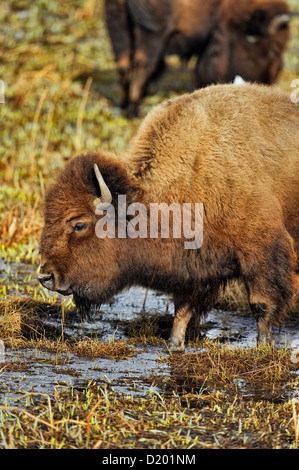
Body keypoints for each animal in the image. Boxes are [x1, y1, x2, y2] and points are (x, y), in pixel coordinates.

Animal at [105, 0, 292, 117]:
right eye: (274, 50)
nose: (270, 83)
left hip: (119, 27)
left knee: (124, 65)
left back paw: (123, 105)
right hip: (152, 35)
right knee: (141, 66)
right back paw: (133, 110)